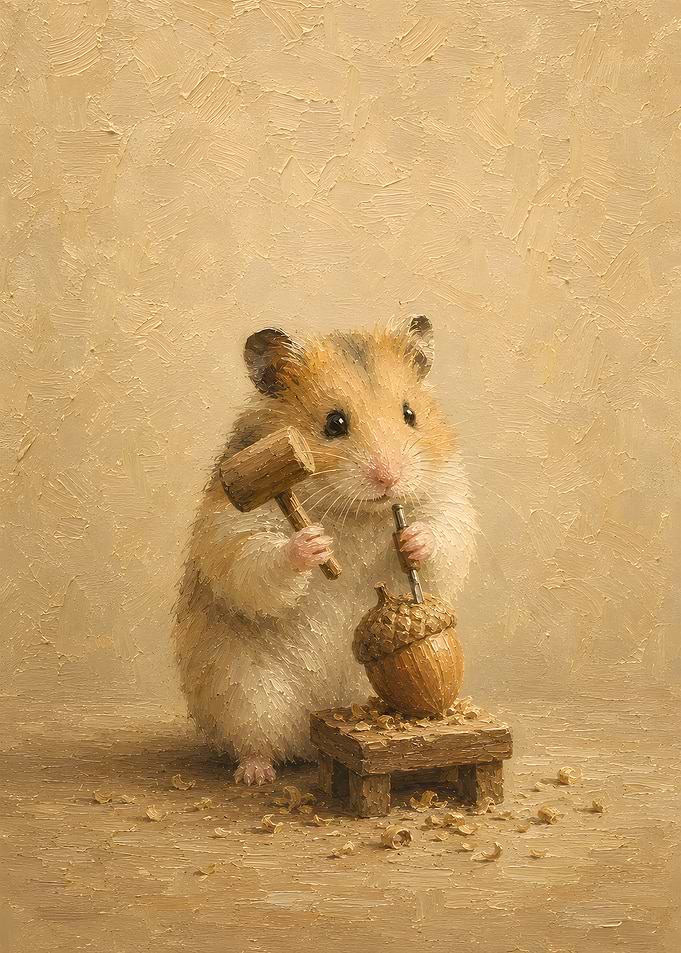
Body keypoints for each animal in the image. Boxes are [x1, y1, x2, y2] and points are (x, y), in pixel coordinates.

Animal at [173, 316, 478, 785]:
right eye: (334, 423)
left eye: (410, 415)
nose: (389, 478)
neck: (356, 514)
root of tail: (311, 732)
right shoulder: (230, 526)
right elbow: (255, 564)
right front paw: (314, 544)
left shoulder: (449, 498)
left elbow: (444, 538)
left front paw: (412, 540)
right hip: (246, 696)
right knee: (255, 742)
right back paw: (256, 776)